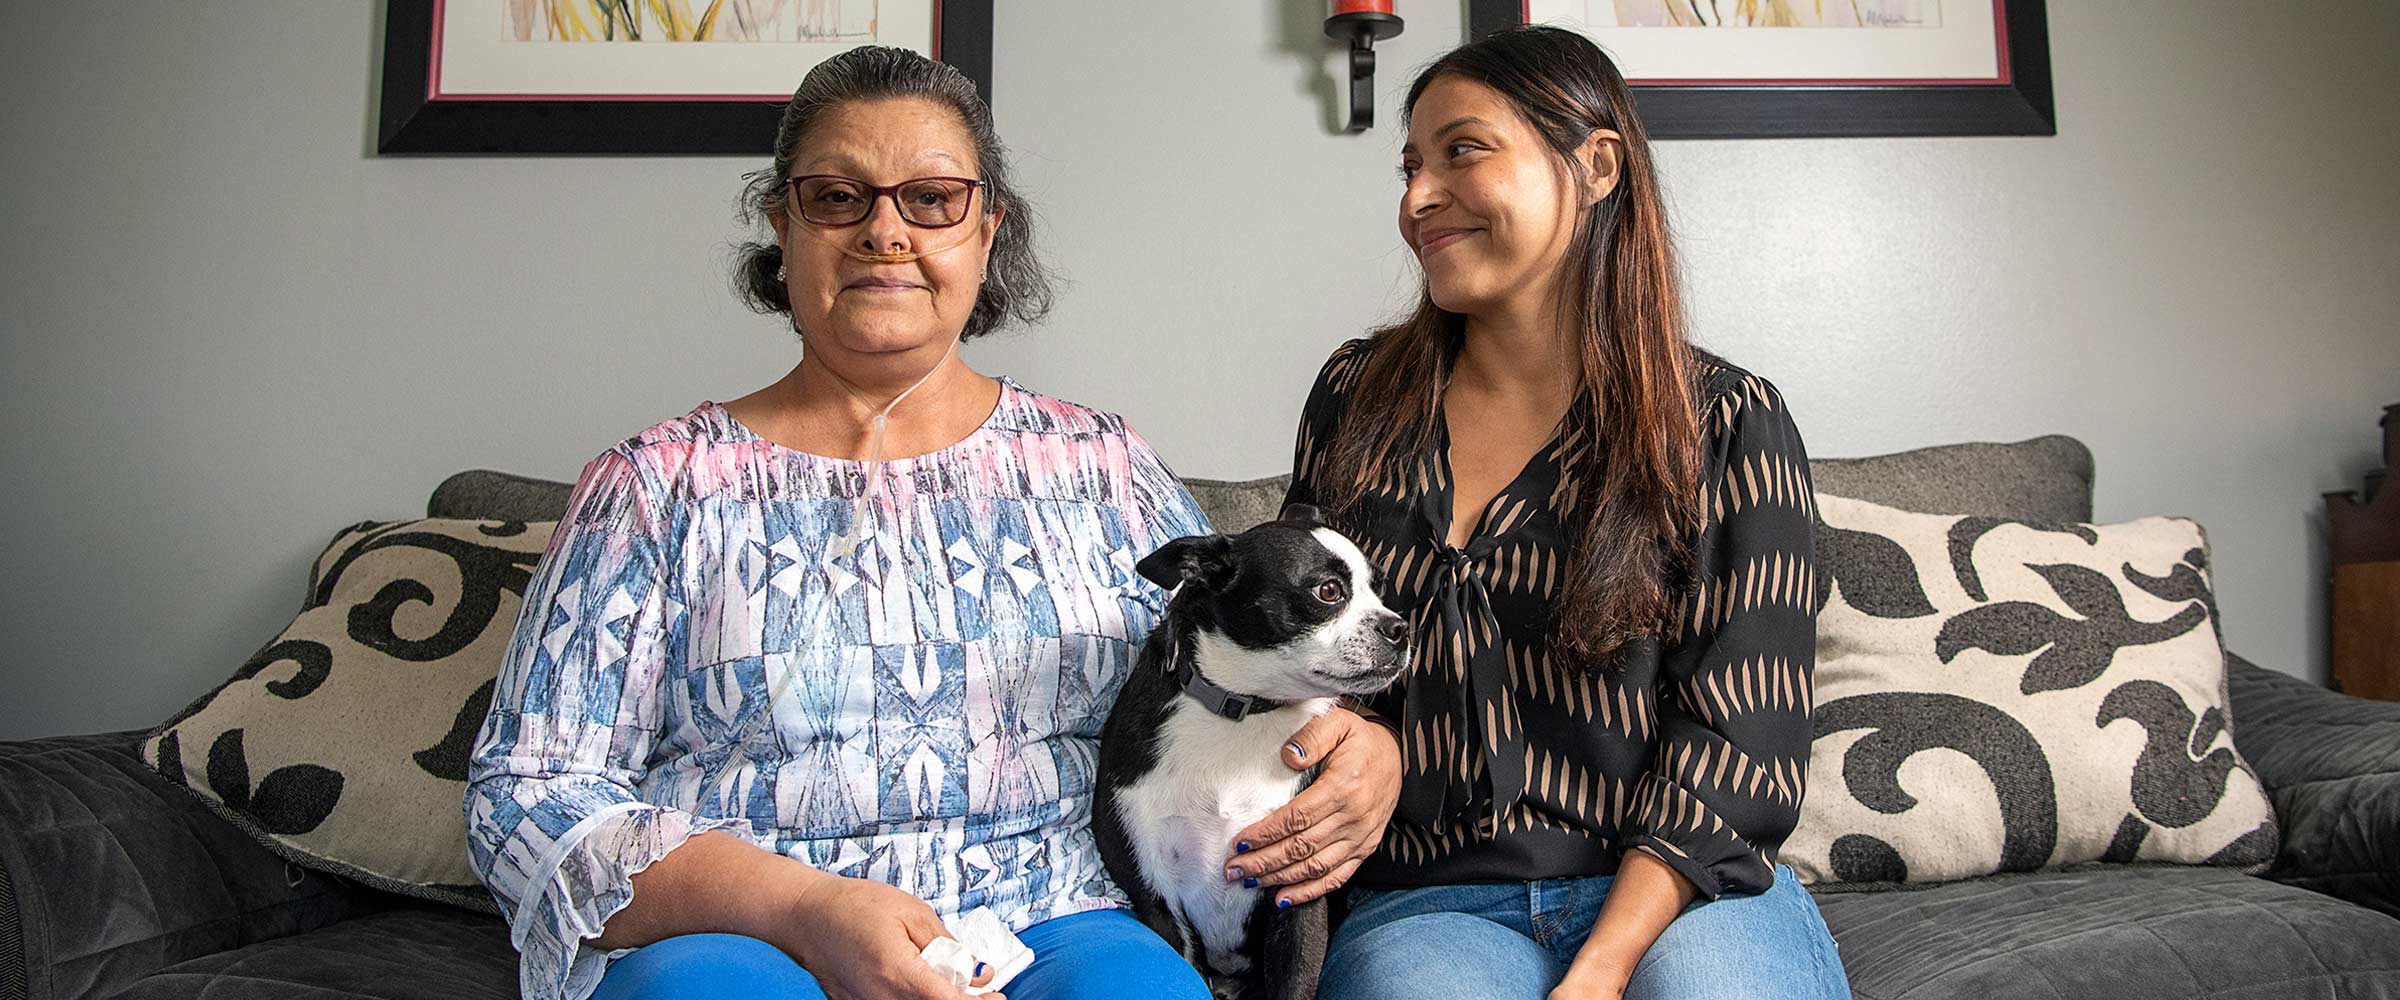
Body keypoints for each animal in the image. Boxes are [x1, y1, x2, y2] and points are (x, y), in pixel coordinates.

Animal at [1094, 505, 1401, 997]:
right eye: (1329, 591)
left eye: (1381, 591)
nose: (1400, 627)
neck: (1244, 712)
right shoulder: (1158, 898)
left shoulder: (1299, 894)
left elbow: (1296, 982)